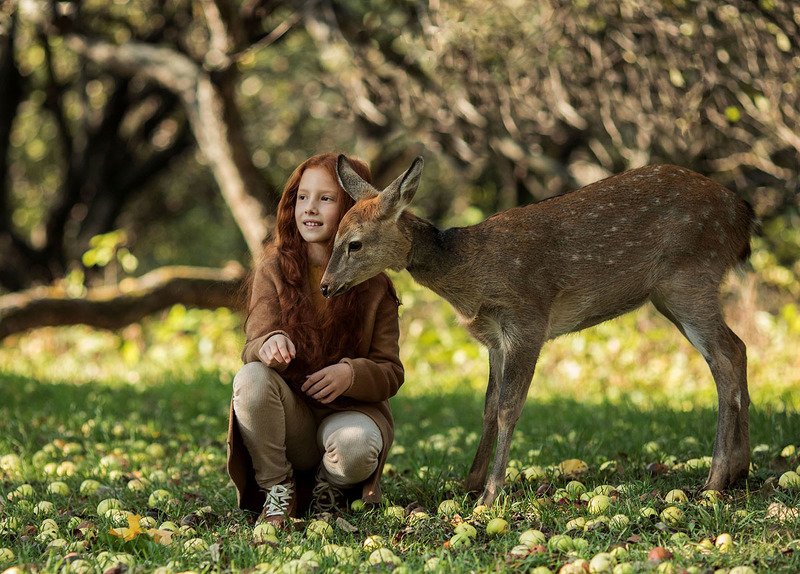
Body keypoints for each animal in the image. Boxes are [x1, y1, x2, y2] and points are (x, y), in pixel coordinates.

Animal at [320, 155, 756, 506]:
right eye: (335, 238)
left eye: (354, 243)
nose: (325, 286)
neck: (469, 274)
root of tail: (742, 214)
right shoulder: (493, 339)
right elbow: (488, 406)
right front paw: (470, 484)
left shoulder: (526, 320)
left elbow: (509, 408)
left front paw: (491, 493)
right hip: (670, 293)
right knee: (739, 347)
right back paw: (741, 472)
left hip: (690, 275)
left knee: (725, 357)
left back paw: (714, 481)